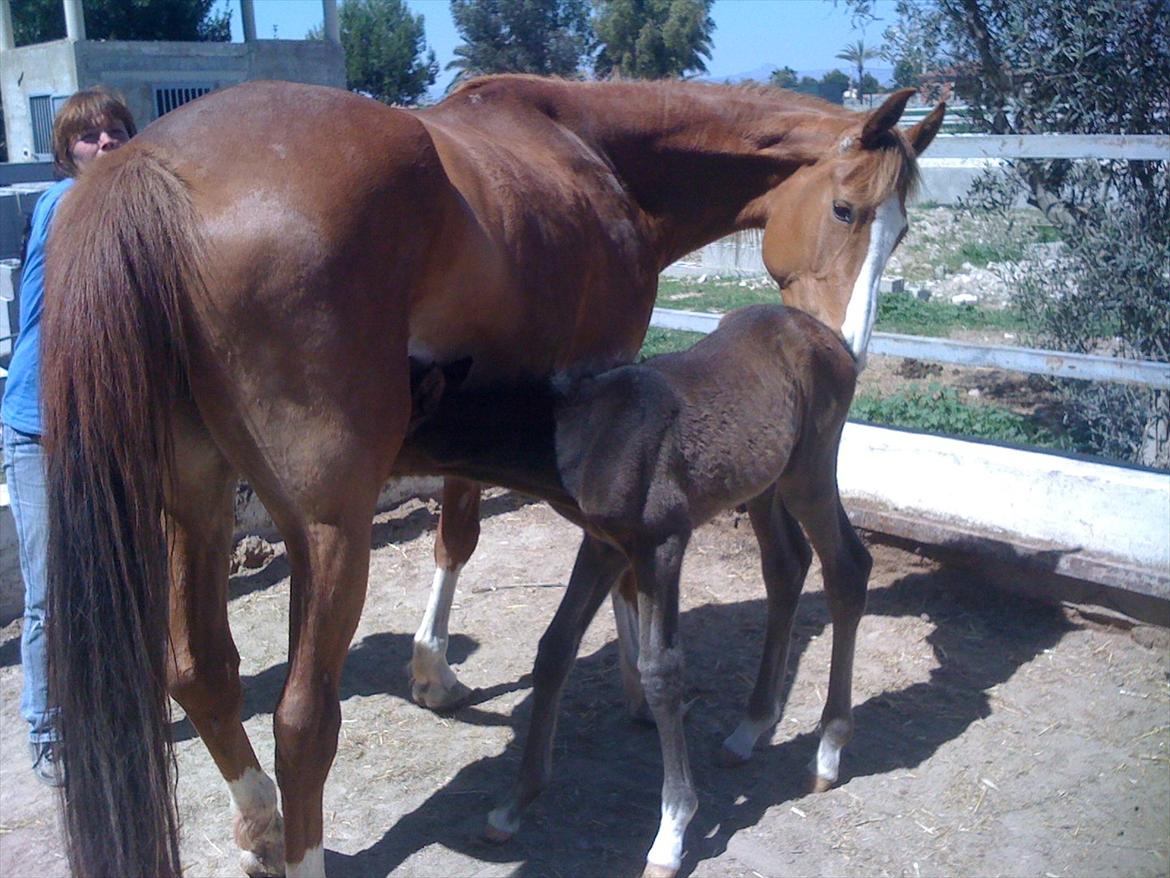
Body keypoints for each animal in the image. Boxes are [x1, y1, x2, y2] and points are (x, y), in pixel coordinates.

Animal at [402, 304, 870, 878]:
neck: (581, 434)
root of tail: (832, 340)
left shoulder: (660, 545)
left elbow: (661, 670)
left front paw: (671, 832)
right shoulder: (603, 545)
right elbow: (554, 649)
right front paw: (513, 806)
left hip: (809, 470)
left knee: (847, 570)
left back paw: (828, 751)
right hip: (764, 482)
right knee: (786, 566)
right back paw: (748, 729)